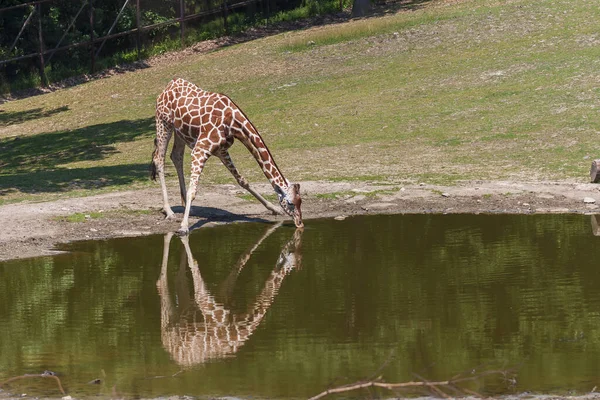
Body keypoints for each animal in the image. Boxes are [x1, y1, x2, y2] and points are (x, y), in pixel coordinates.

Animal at [150, 77, 304, 234]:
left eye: (300, 201)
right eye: (290, 203)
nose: (300, 223)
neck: (232, 122)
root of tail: (166, 88)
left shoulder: (221, 150)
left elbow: (242, 180)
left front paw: (274, 209)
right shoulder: (200, 149)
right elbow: (193, 191)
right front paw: (183, 227)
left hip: (179, 132)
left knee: (176, 156)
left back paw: (187, 207)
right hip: (163, 123)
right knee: (159, 158)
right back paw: (169, 211)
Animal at [157, 222, 302, 366]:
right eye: (293, 250)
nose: (300, 224)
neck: (237, 326)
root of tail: (170, 348)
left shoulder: (223, 293)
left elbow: (242, 259)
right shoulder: (205, 300)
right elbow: (195, 266)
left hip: (184, 311)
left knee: (180, 280)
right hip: (170, 321)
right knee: (162, 287)